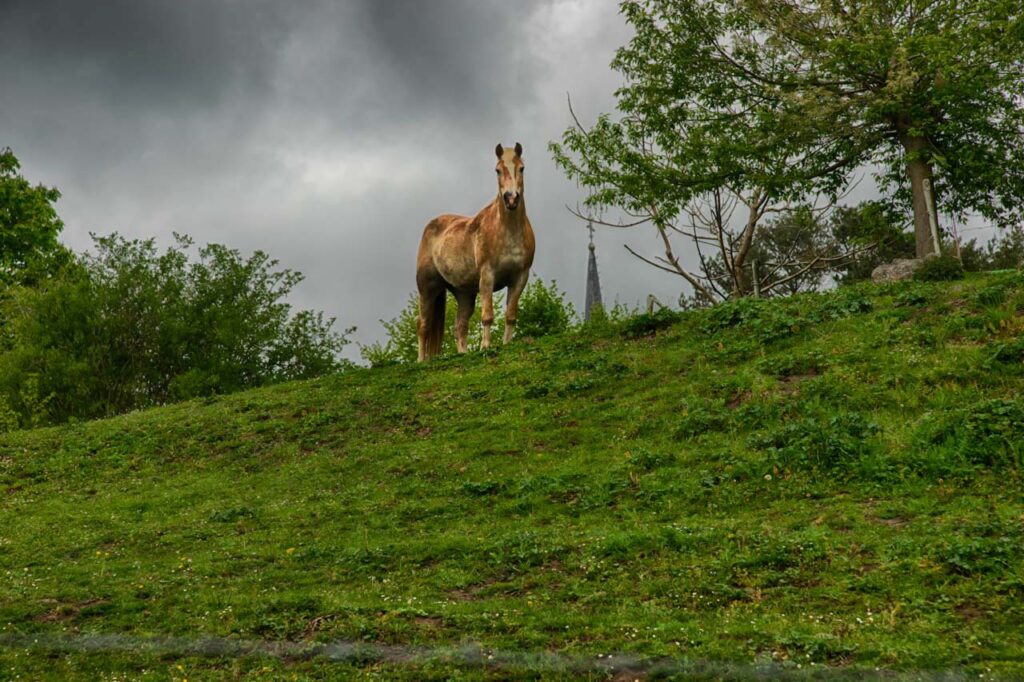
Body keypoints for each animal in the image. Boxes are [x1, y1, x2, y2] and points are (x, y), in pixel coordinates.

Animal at [413, 140, 536, 358]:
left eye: (522, 168)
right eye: (497, 170)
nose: (511, 199)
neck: (508, 231)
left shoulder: (520, 276)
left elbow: (511, 314)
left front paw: (506, 344)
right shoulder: (487, 275)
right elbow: (487, 315)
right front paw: (485, 347)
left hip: (465, 294)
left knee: (460, 326)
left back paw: (463, 354)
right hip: (427, 288)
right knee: (423, 326)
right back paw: (421, 360)